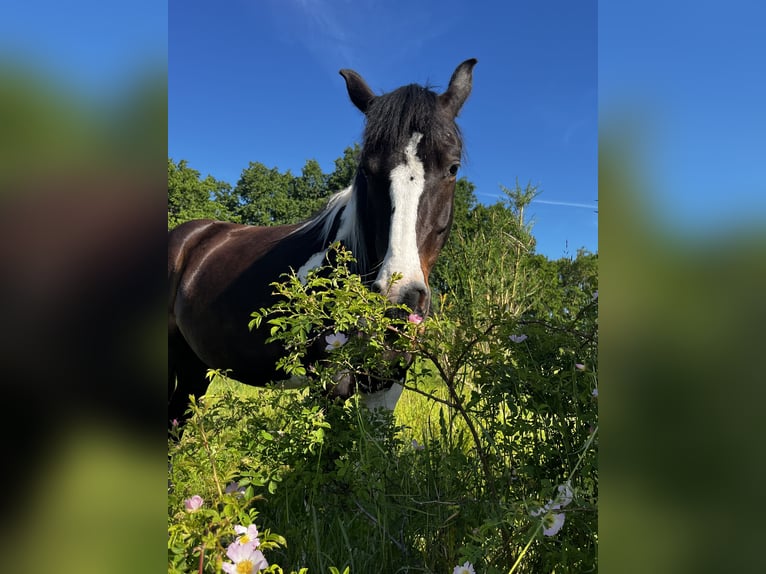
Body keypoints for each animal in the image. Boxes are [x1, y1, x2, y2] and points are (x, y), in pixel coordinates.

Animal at [169, 59, 477, 424]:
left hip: (195, 365)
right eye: (367, 169)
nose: (399, 298)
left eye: (452, 168)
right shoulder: (330, 386)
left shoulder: (384, 387)